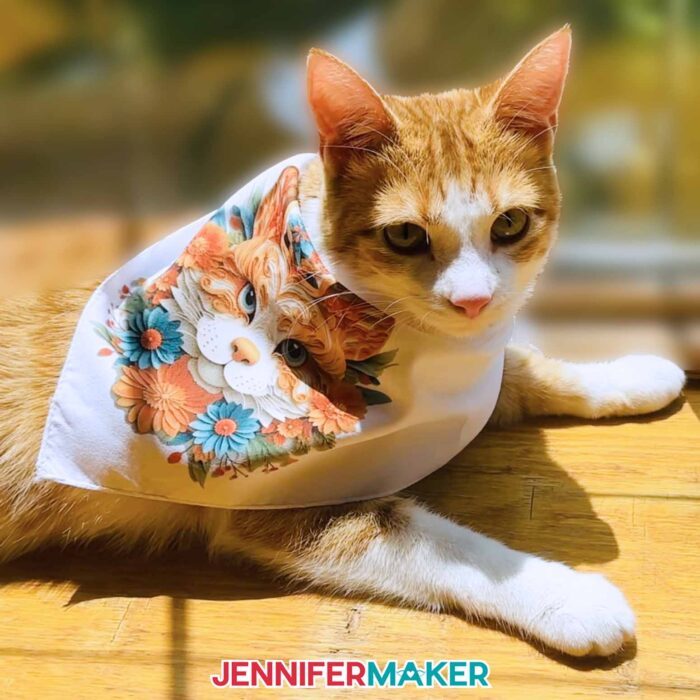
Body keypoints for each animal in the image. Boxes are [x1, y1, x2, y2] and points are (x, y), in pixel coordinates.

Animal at [0, 27, 684, 660]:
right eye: (405, 235)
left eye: (510, 223)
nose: (472, 301)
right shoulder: (284, 506)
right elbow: (446, 548)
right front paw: (573, 598)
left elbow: (525, 370)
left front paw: (636, 373)